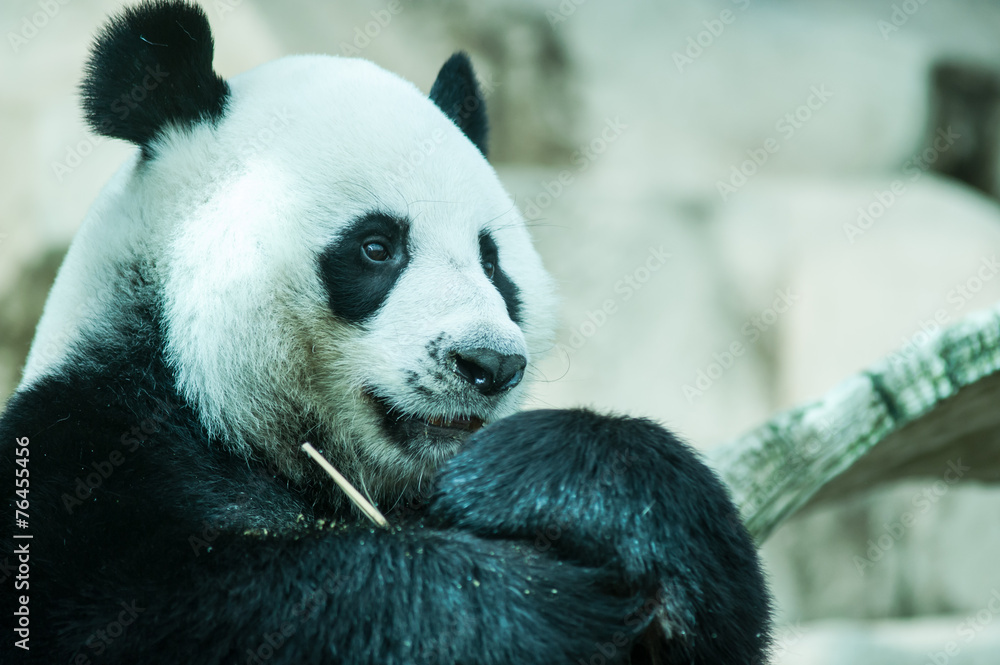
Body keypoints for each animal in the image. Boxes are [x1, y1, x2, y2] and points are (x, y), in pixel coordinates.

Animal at [0, 2, 770, 664]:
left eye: (493, 261)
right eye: (377, 247)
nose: (488, 363)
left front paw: (555, 481)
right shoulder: (89, 455)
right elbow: (210, 603)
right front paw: (524, 603)